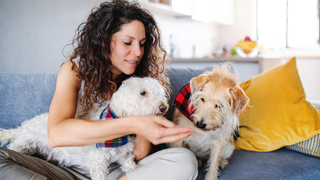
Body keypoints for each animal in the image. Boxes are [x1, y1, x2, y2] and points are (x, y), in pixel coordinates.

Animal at [0, 76, 169, 180]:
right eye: (143, 93)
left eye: (159, 93)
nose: (163, 107)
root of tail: (26, 125)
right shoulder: (96, 162)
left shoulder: (125, 153)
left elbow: (129, 163)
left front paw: (133, 169)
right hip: (23, 144)